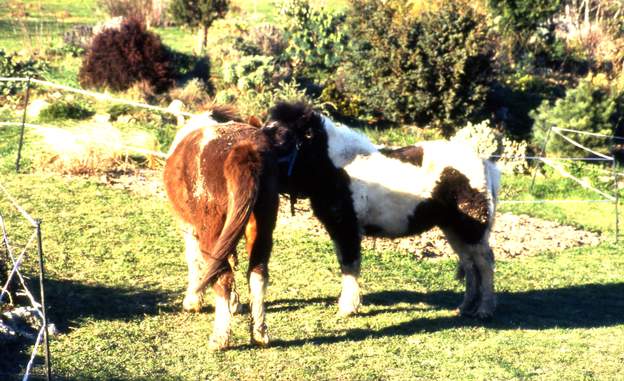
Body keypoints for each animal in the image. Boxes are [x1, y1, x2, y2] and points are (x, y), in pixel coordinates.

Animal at [264, 102, 502, 320]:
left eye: (283, 135)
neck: (336, 168)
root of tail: (485, 163)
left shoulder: (348, 230)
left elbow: (350, 266)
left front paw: (347, 308)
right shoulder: (339, 232)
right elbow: (345, 265)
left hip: (471, 230)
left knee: (484, 263)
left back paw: (484, 310)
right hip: (453, 228)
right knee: (470, 264)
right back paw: (465, 308)